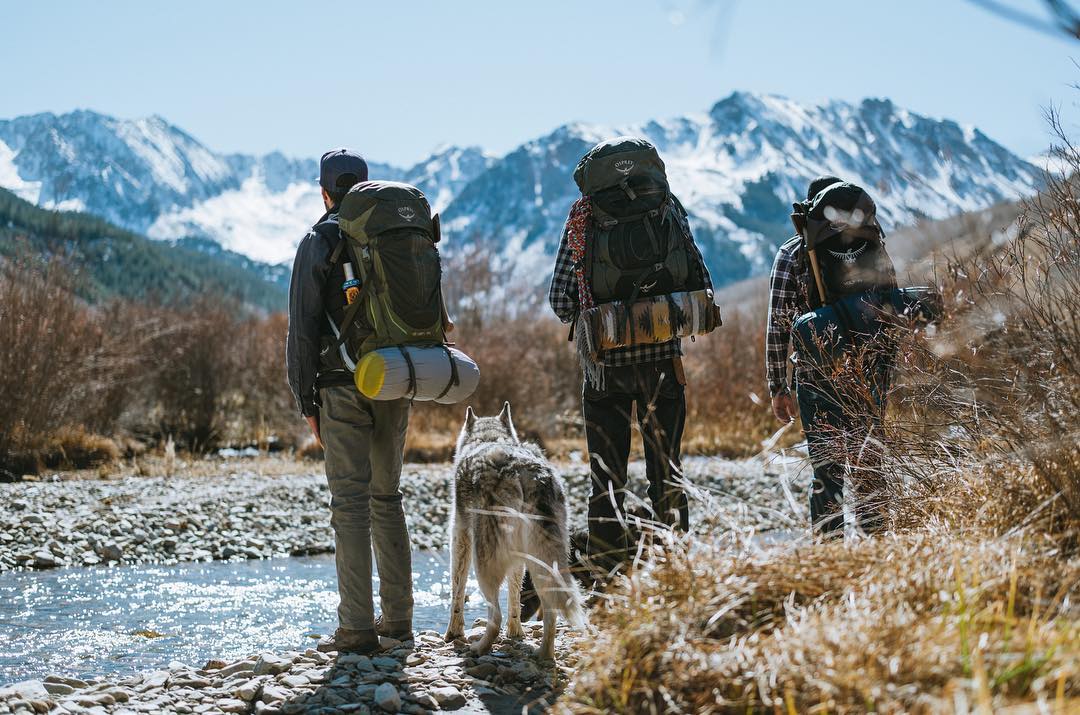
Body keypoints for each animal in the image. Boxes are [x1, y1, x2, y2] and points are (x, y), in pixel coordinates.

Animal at [442, 403, 587, 660]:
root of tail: (526, 473)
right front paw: (516, 632)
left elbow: (457, 592)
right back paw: (544, 655)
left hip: (483, 564)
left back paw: (479, 648)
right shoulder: (519, 561)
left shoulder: (460, 539)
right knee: (550, 613)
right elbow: (514, 597)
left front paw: (453, 633)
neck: (488, 438)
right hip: (543, 563)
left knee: (495, 617)